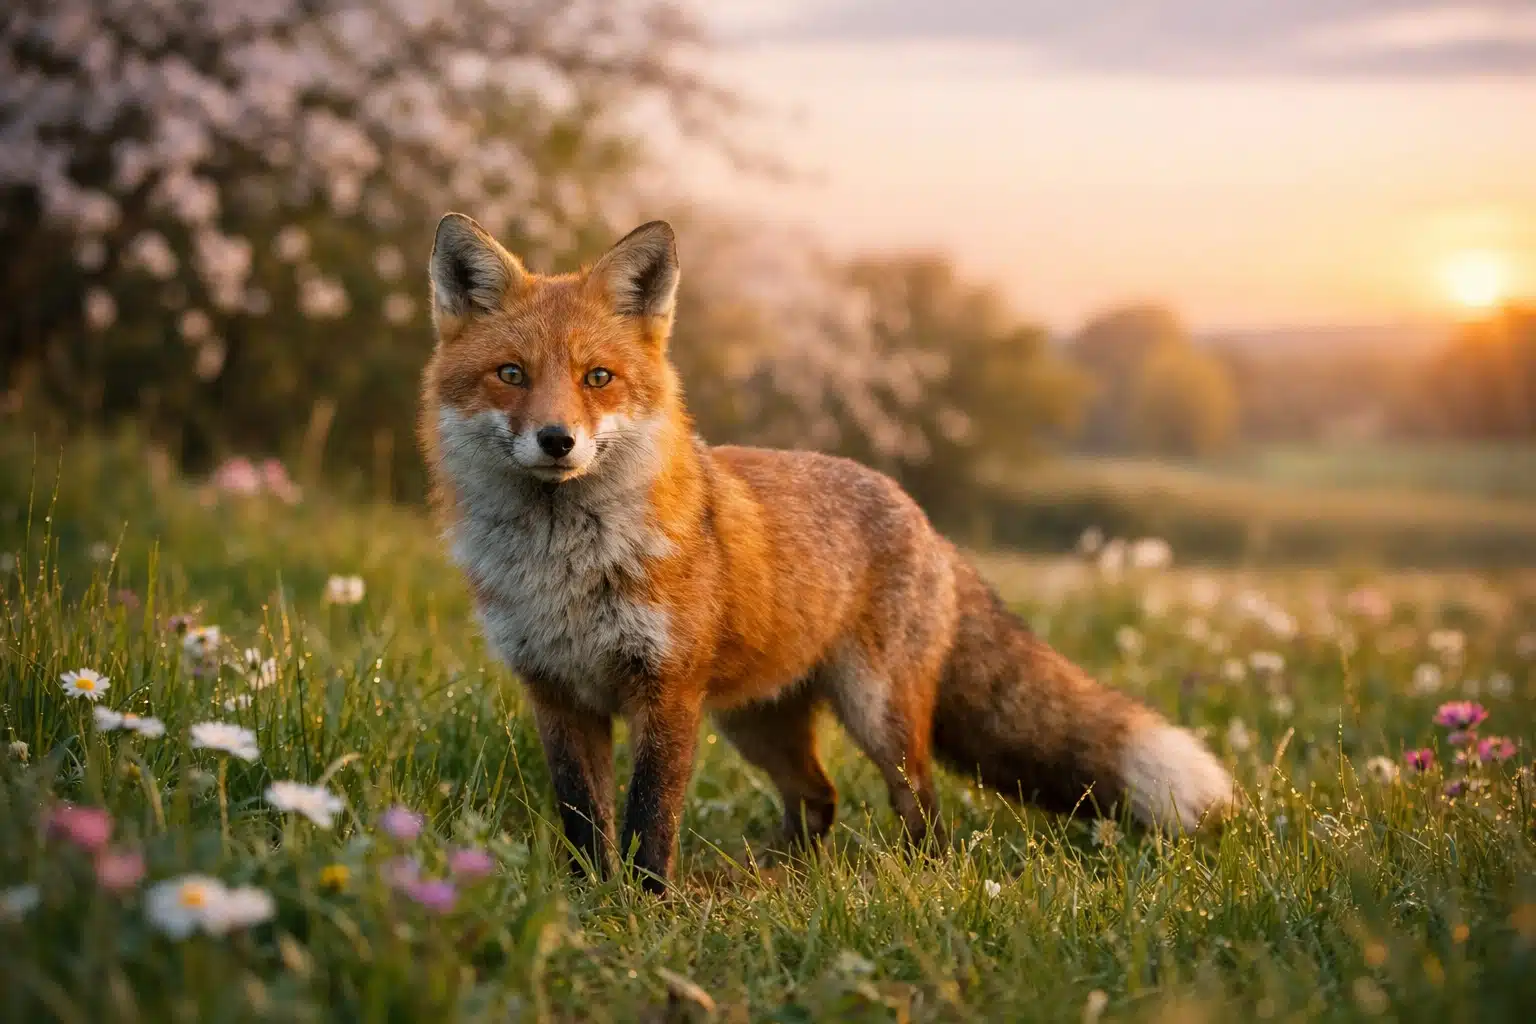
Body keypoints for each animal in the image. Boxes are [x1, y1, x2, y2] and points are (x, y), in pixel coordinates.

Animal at [418, 213, 1235, 892]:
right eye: (512, 375)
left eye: (598, 378)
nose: (557, 440)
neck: (565, 569)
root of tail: (924, 519)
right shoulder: (557, 694)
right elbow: (585, 821)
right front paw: (593, 903)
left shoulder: (666, 693)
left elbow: (651, 819)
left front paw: (645, 908)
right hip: (755, 722)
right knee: (819, 799)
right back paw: (769, 880)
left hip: (877, 715)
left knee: (922, 811)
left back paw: (911, 883)